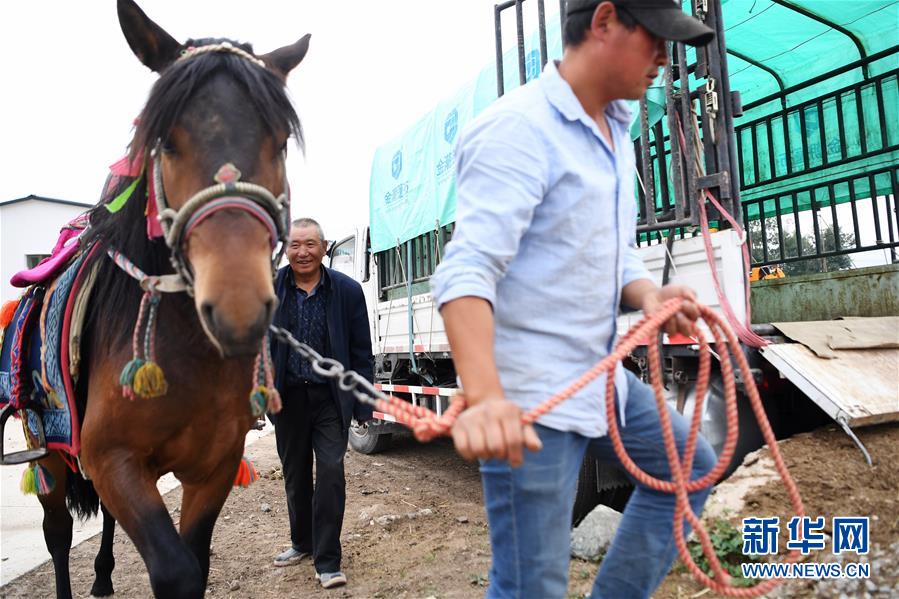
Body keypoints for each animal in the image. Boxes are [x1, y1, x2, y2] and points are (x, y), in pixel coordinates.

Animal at [30, 2, 310, 596]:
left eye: (279, 142)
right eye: (168, 142)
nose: (237, 309)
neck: (190, 355)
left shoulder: (213, 465)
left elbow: (195, 562)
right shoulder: (111, 459)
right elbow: (175, 570)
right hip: (48, 454)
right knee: (57, 533)